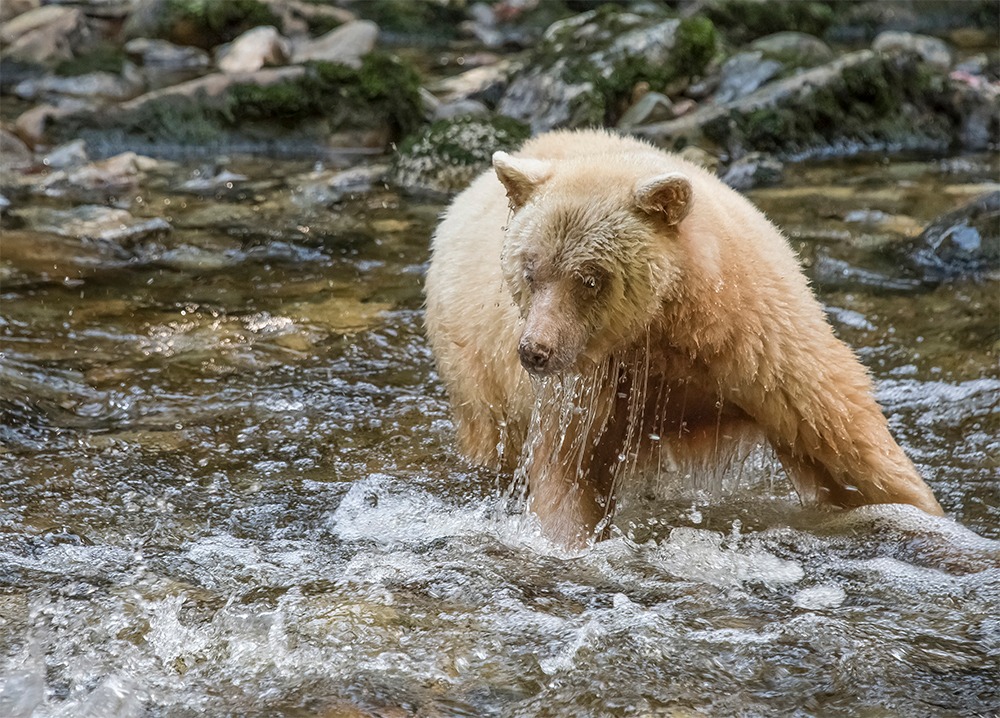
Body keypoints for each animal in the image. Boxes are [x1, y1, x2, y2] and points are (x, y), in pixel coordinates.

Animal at [424, 128, 944, 544]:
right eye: (530, 270)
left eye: (589, 278)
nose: (535, 351)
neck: (667, 328)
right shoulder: (585, 386)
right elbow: (566, 470)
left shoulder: (758, 340)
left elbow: (847, 442)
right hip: (479, 381)